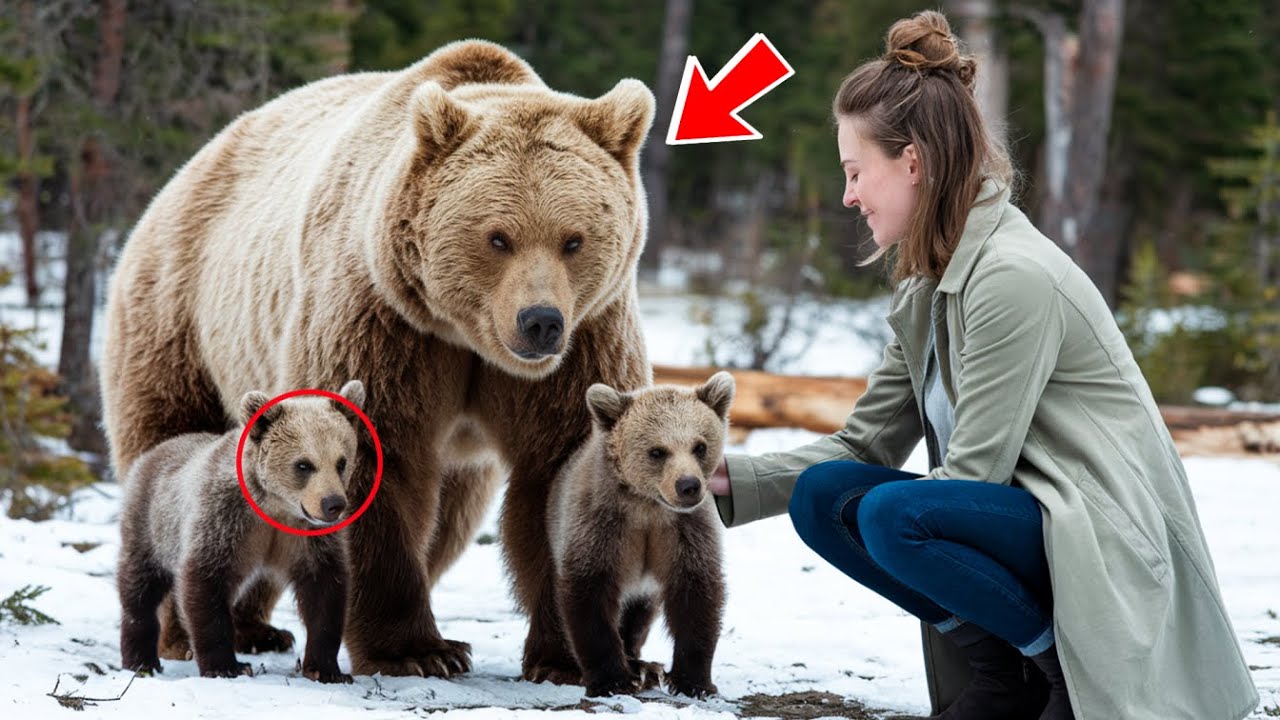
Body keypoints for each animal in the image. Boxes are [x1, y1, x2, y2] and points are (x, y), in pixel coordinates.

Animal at [117, 381, 365, 683]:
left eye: (341, 462)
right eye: (304, 464)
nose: (333, 504)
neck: (274, 506)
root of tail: (153, 452)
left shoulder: (306, 538)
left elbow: (324, 591)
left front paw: (326, 669)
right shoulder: (223, 519)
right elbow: (205, 582)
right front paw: (226, 666)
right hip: (151, 524)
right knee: (140, 589)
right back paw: (141, 660)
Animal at [545, 372, 734, 699]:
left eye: (699, 446)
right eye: (657, 451)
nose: (688, 485)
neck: (647, 506)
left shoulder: (684, 531)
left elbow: (696, 594)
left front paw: (693, 681)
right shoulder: (601, 526)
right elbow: (590, 595)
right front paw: (612, 680)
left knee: (638, 615)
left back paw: (643, 663)